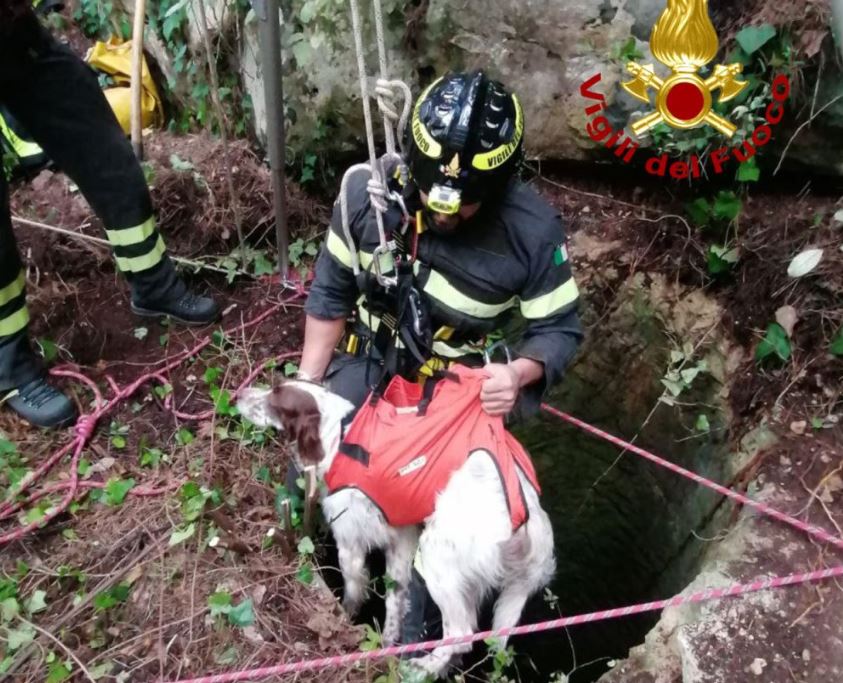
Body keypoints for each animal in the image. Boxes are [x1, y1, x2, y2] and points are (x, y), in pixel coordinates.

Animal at [237, 376, 552, 680]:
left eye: (275, 397)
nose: (239, 394)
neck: (339, 435)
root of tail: (524, 518)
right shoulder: (401, 540)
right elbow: (395, 600)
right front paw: (387, 645)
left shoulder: (350, 541)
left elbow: (353, 591)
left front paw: (347, 623)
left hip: (436, 558)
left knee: (461, 635)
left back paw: (421, 668)